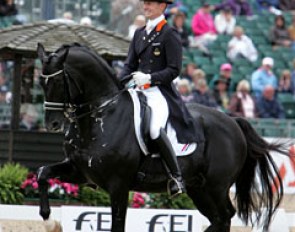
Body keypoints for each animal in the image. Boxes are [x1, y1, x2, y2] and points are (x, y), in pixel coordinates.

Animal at [37, 42, 290, 231]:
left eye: (58, 81)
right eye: (41, 81)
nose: (53, 124)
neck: (100, 115)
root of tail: (233, 121)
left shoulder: (118, 185)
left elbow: (117, 225)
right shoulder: (81, 172)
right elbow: (42, 172)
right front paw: (47, 216)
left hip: (216, 186)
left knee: (225, 216)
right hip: (199, 188)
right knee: (219, 219)